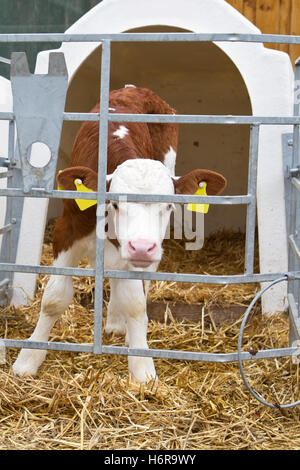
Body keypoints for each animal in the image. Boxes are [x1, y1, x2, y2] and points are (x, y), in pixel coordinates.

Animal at [12, 87, 226, 382]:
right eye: (115, 203)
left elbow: (135, 303)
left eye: (169, 205)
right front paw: (29, 358)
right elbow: (54, 298)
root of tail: (135, 89)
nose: (142, 247)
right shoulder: (66, 229)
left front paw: (142, 366)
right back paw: (114, 322)